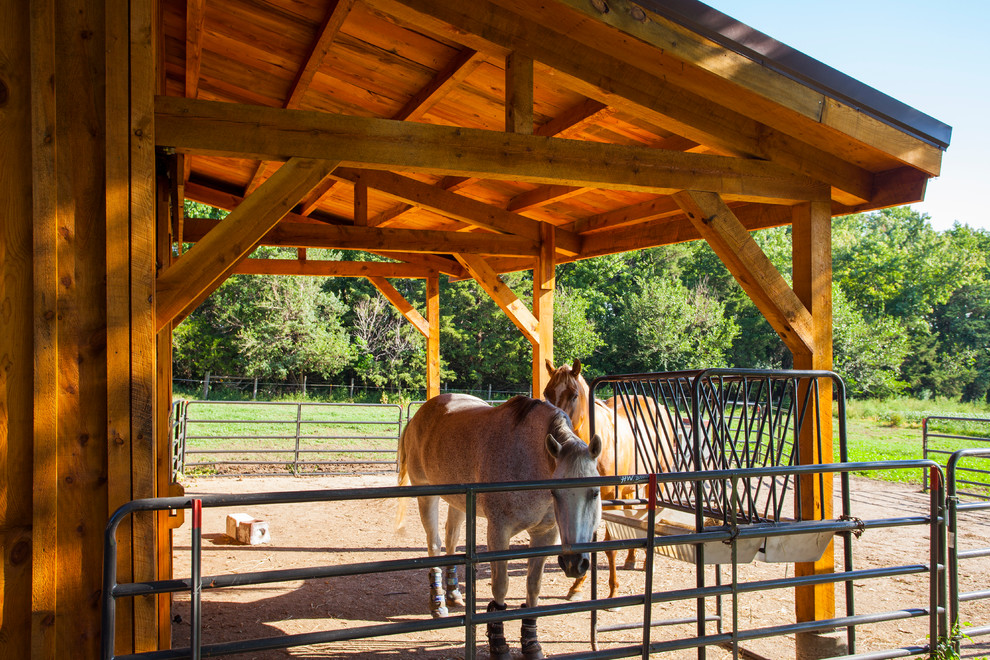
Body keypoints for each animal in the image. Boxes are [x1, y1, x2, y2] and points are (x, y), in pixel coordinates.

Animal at [398, 394, 604, 656]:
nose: (573, 563)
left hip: (459, 501)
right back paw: (438, 604)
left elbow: (533, 586)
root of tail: (420, 415)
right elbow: (500, 586)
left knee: (451, 539)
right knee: (434, 545)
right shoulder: (499, 532)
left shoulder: (545, 535)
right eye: (556, 493)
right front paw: (498, 644)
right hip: (426, 494)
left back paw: (453, 593)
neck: (530, 459)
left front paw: (531, 643)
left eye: (595, 492)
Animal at [544, 358, 676, 600]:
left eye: (573, 394)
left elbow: (609, 546)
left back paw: (646, 563)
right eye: (547, 393)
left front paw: (613, 591)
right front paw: (577, 586)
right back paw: (631, 558)